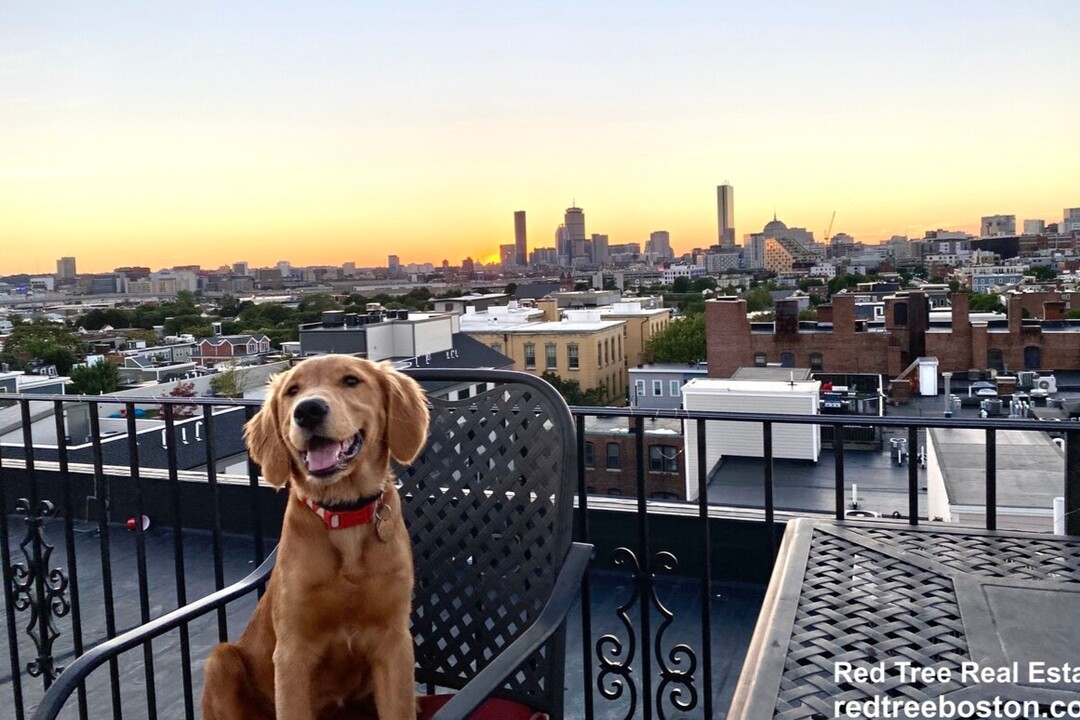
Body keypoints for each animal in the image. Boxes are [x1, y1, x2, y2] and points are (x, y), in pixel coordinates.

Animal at [200, 354, 427, 720]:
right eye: (292, 391)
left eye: (351, 380)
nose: (307, 410)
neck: (343, 513)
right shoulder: (292, 652)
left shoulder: (394, 641)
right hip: (221, 662)